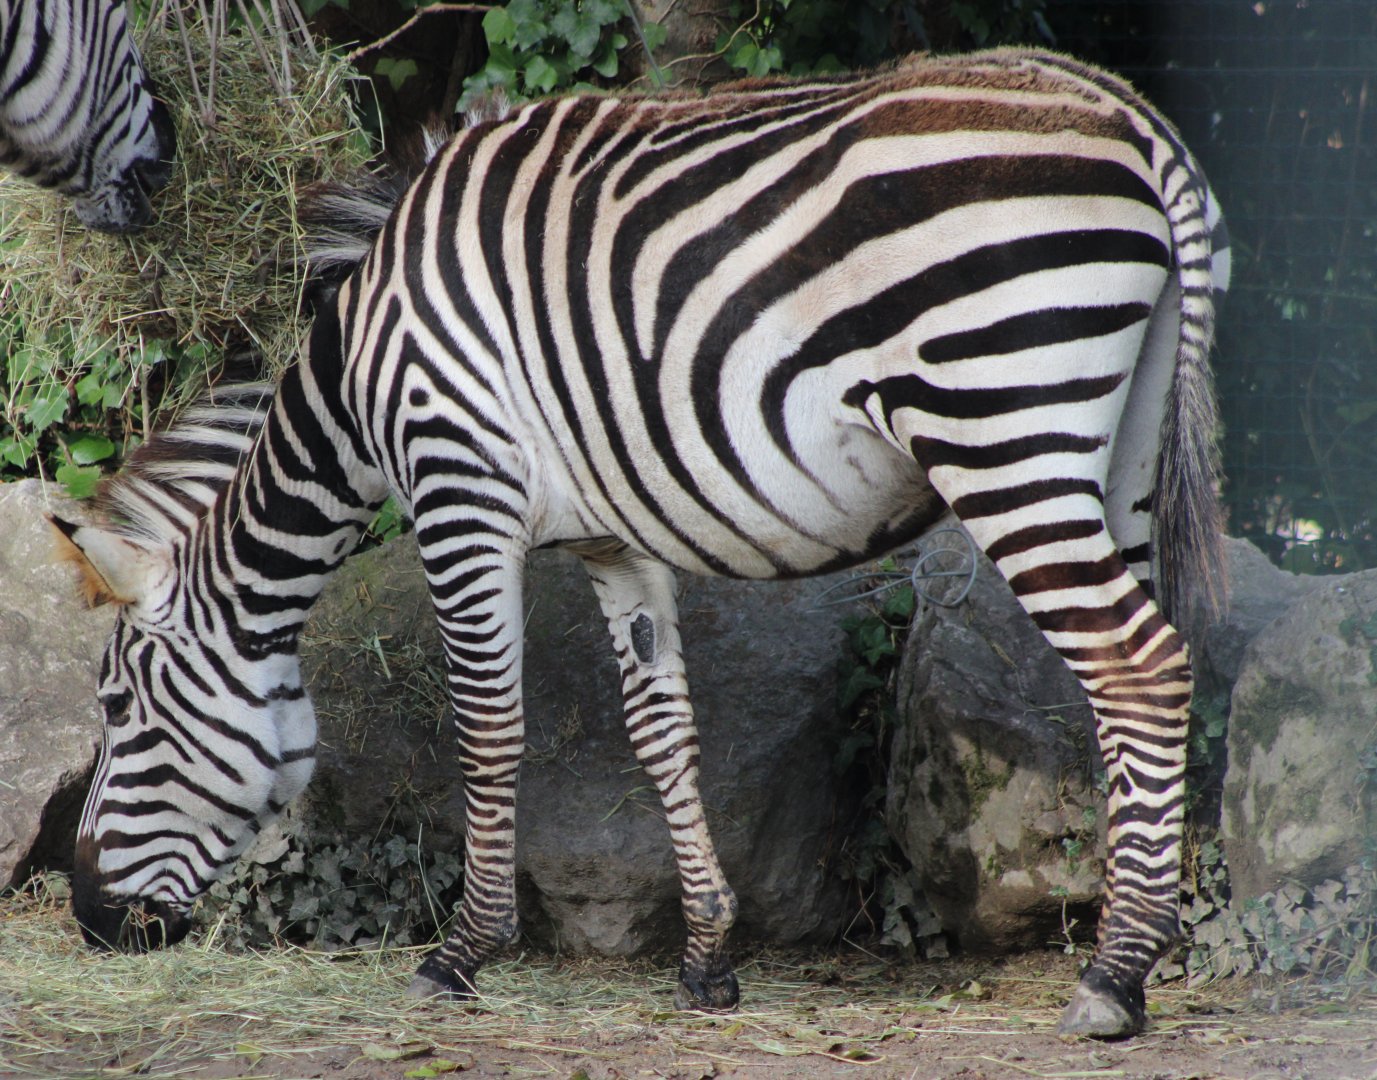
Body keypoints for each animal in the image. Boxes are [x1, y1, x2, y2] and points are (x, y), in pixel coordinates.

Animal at [52, 47, 1228, 1039]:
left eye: (117, 710)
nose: (89, 922)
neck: (356, 382)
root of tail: (1127, 116)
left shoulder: (457, 485)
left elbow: (490, 727)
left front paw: (461, 955)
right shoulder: (615, 542)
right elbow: (664, 728)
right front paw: (708, 960)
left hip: (996, 424)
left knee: (1139, 665)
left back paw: (1113, 979)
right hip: (1120, 446)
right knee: (1132, 680)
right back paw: (1140, 943)